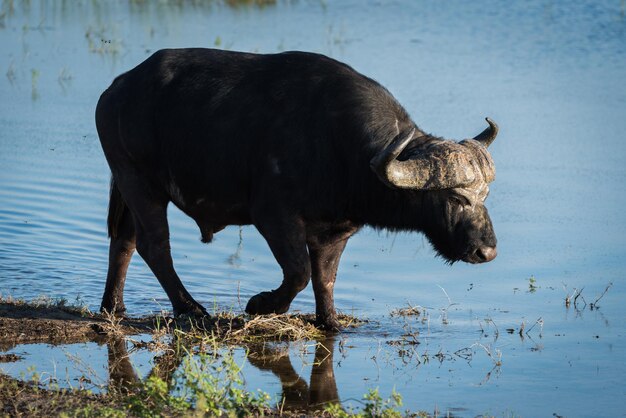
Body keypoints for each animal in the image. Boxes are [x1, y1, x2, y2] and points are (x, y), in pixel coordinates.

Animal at [95, 48, 498, 330]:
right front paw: (261, 304)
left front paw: (329, 321)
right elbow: (299, 272)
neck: (342, 148)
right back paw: (191, 308)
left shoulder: (335, 232)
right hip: (140, 182)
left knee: (125, 240)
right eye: (455, 197)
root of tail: (116, 90)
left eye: (484, 197)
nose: (487, 252)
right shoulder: (274, 217)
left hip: (130, 186)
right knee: (154, 245)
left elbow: (325, 279)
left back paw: (113, 306)